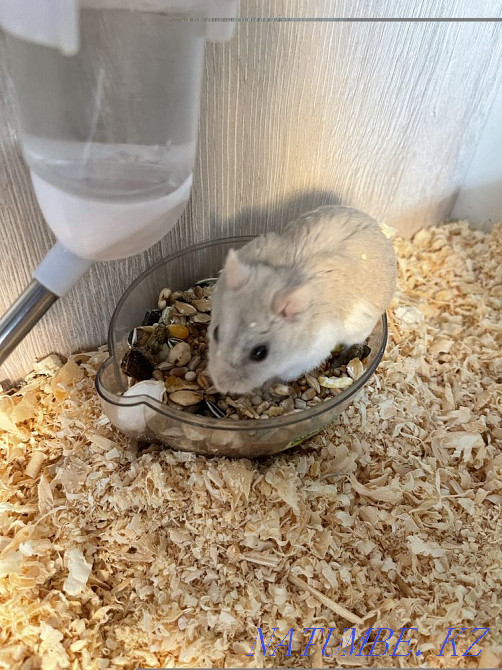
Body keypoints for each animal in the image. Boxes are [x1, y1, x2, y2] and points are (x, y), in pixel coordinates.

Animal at [207, 205, 396, 394]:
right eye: (216, 332)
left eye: (260, 353)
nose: (220, 386)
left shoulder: (307, 357)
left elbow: (282, 375)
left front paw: (267, 387)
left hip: (360, 328)